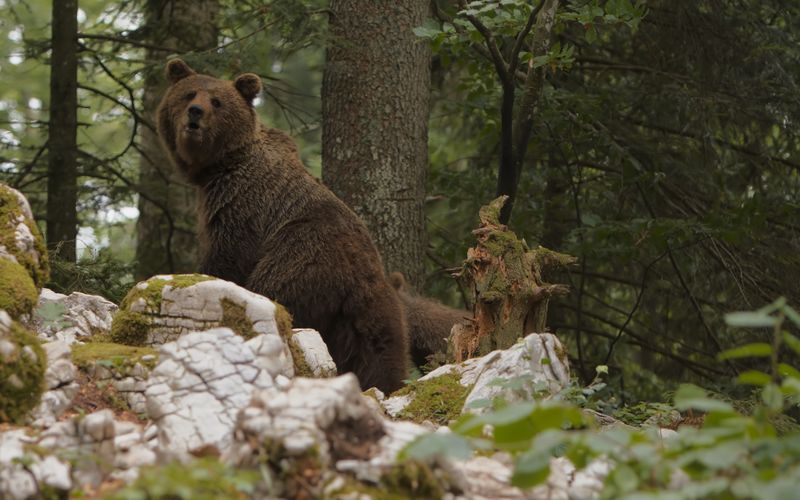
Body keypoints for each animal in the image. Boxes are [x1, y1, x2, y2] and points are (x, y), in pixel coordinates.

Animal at [157, 59, 410, 394]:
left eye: (217, 101)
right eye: (189, 94)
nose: (195, 112)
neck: (219, 166)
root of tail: (363, 279)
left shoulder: (243, 200)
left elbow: (229, 253)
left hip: (303, 254)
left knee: (273, 291)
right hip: (370, 318)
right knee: (381, 356)